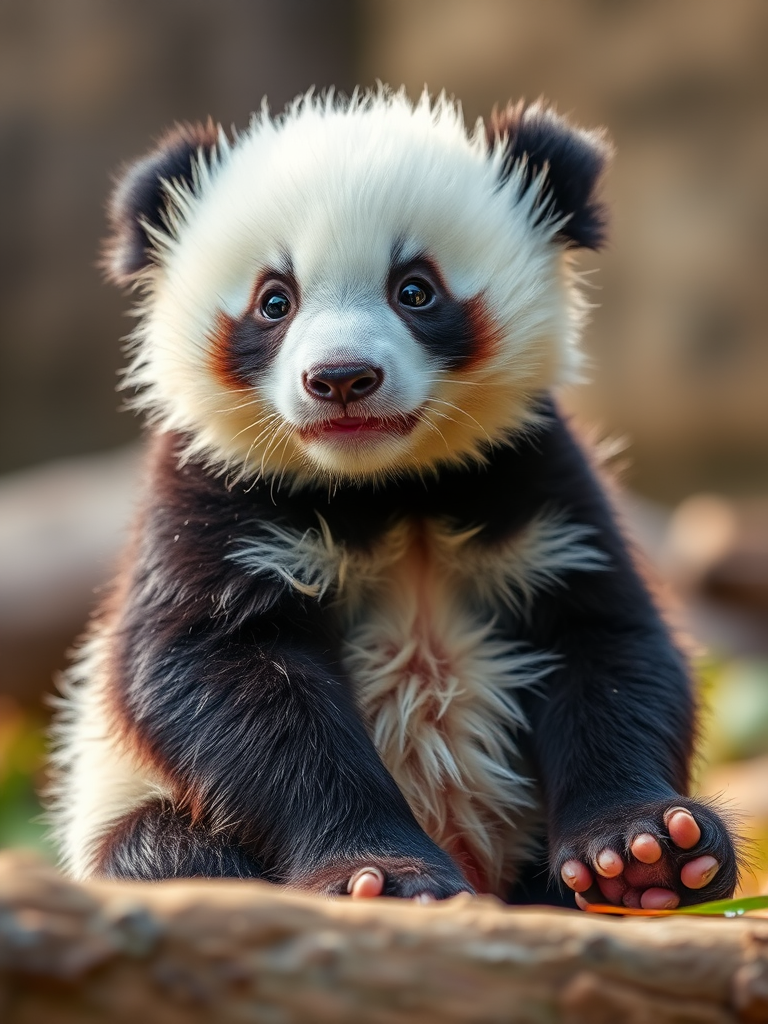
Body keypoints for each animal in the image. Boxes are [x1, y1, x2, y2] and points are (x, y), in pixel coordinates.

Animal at [49, 87, 738, 908]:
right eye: (274, 301)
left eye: (415, 289)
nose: (342, 378)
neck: (382, 485)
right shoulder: (216, 497)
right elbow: (226, 678)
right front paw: (379, 876)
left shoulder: (540, 486)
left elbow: (610, 646)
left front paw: (641, 847)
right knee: (164, 854)